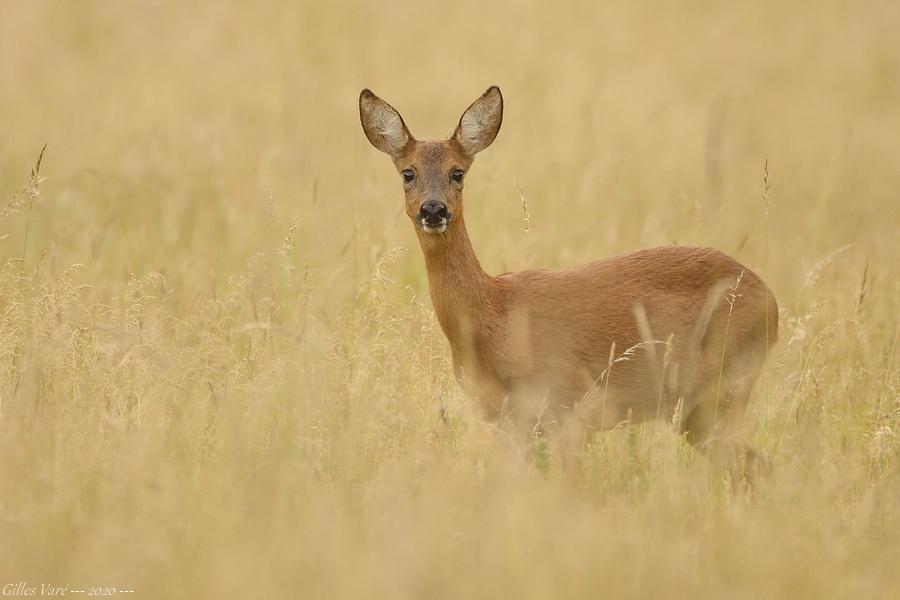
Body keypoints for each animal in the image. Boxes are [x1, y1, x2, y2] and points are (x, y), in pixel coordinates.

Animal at [356, 85, 776, 468]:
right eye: (408, 173)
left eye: (457, 172)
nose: (433, 209)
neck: (492, 316)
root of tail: (772, 303)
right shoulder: (509, 422)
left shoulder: (569, 403)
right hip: (697, 410)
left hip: (725, 389)